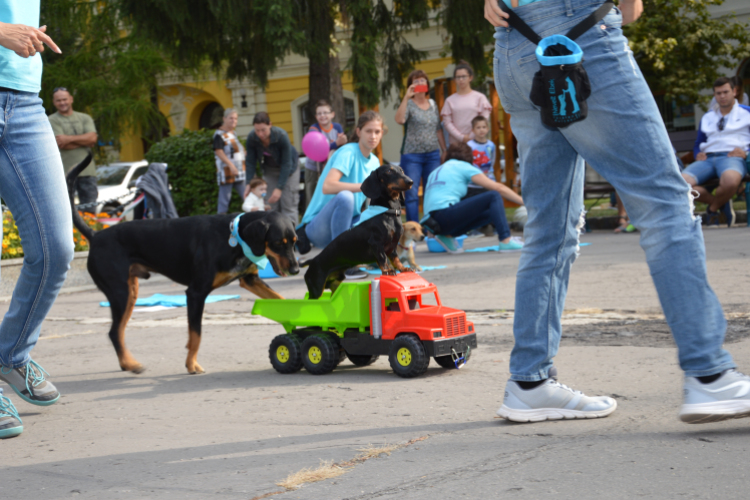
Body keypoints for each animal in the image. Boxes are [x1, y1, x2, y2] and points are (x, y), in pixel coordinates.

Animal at [67, 158, 296, 374]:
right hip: (120, 293)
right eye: (278, 243)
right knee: (114, 332)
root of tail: (95, 236)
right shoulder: (195, 293)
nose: (295, 269)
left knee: (118, 331)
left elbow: (281, 299)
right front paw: (191, 364)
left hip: (130, 293)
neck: (233, 237)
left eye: (295, 241)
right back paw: (130, 364)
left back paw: (126, 363)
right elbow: (196, 334)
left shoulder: (250, 280)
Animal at [302, 164, 414, 298]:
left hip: (335, 284)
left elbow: (395, 258)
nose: (410, 181)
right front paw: (387, 270)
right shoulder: (376, 243)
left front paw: (403, 268)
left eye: (401, 170)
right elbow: (383, 259)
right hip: (316, 289)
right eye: (388, 171)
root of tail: (312, 261)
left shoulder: (392, 245)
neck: (388, 213)